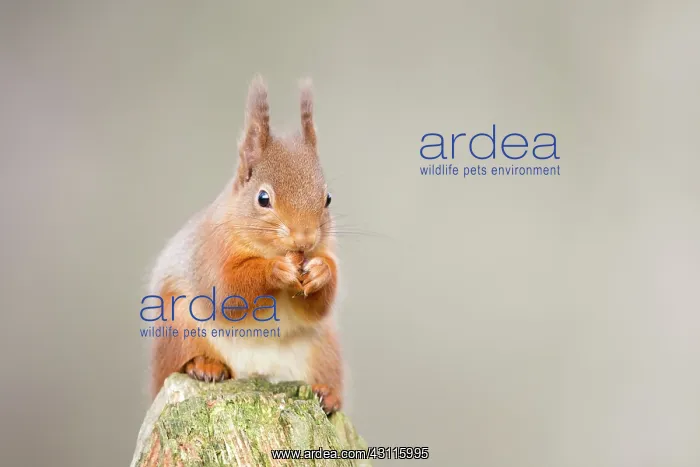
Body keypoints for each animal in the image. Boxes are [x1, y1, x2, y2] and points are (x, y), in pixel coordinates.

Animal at [148, 75, 343, 414]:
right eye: (263, 198)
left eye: (328, 198)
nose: (305, 240)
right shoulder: (211, 253)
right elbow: (228, 291)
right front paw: (275, 270)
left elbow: (316, 307)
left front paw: (321, 271)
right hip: (177, 326)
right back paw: (204, 366)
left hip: (324, 349)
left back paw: (327, 393)